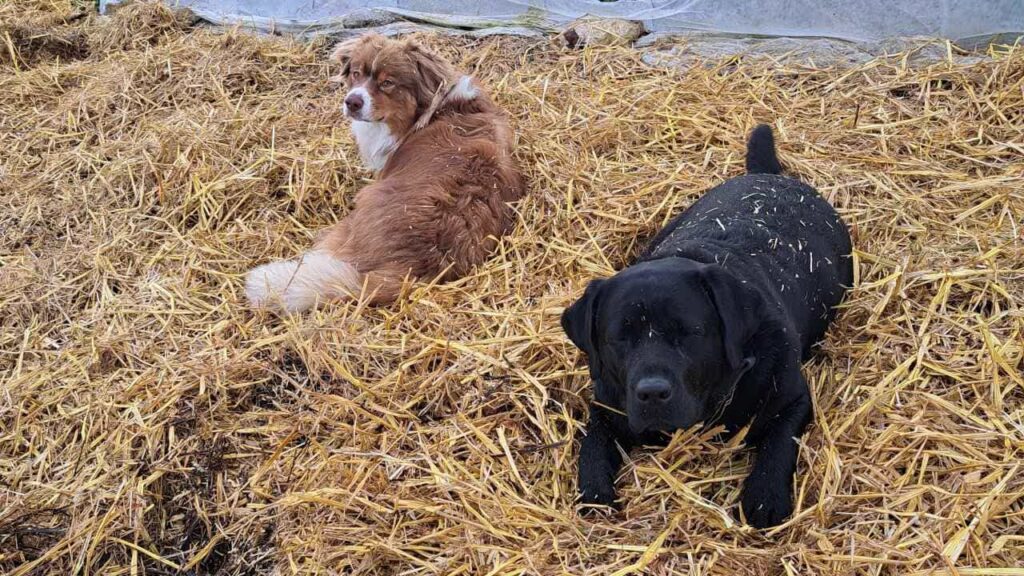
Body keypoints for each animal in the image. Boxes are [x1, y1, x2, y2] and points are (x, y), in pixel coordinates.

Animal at [565, 124, 851, 524]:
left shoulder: (792, 399)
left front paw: (765, 497)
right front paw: (595, 492)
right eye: (619, 338)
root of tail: (769, 176)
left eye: (690, 333)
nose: (651, 393)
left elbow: (778, 445)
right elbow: (591, 446)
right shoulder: (607, 404)